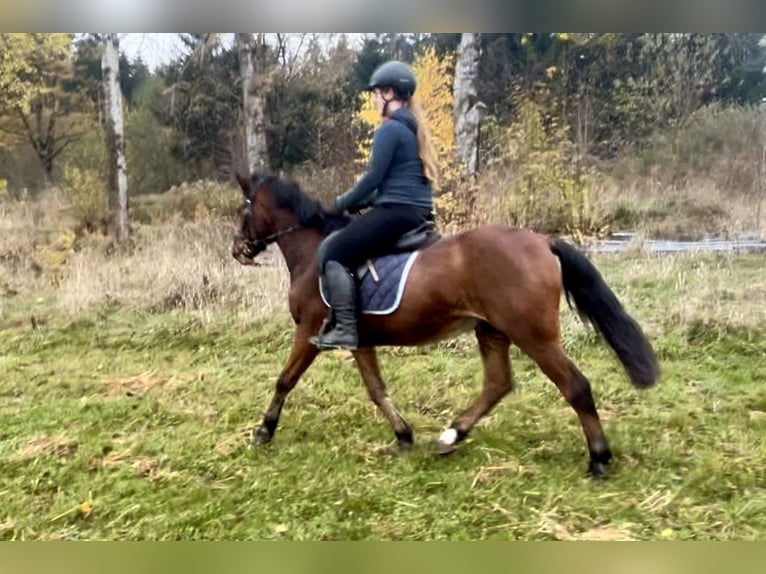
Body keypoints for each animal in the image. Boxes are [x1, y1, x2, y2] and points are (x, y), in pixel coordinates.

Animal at [232, 173, 660, 480]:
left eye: (243, 208)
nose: (238, 250)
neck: (311, 253)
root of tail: (542, 241)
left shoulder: (309, 332)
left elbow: (285, 380)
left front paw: (264, 432)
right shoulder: (359, 340)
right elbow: (376, 389)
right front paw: (404, 435)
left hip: (534, 336)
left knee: (576, 387)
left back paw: (599, 460)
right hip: (491, 331)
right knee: (497, 384)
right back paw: (452, 435)